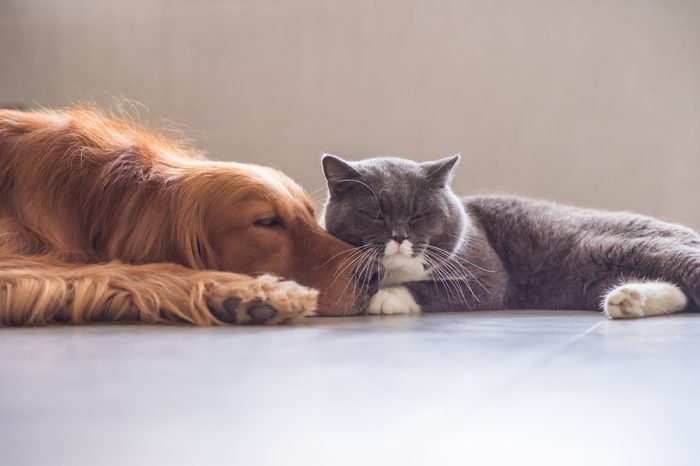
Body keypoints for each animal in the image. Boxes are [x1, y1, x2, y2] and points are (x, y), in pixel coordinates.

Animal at [322, 155, 700, 318]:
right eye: (375, 214)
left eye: (418, 215)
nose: (399, 236)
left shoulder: (488, 276)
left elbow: (433, 288)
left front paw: (386, 297)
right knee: (681, 295)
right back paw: (627, 301)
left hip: (627, 245)